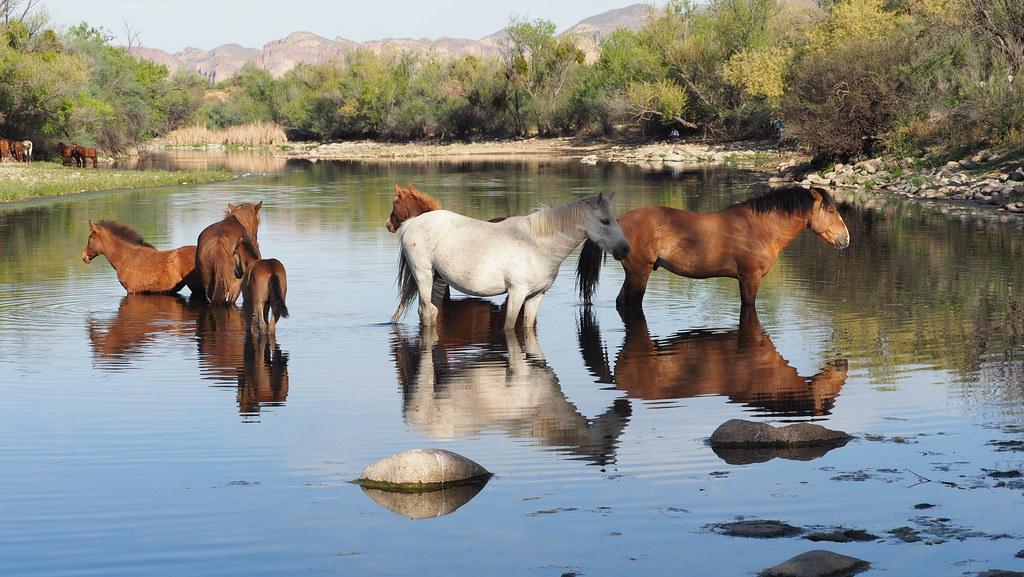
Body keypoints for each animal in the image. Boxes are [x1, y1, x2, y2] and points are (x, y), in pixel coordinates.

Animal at [393, 193, 626, 330]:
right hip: (423, 276)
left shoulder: (536, 295)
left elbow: (527, 327)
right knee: (426, 311)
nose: (625, 249)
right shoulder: (516, 292)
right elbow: (509, 326)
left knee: (432, 311)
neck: (537, 245)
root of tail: (411, 223)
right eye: (605, 221)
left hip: (437, 279)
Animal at [581, 186, 851, 311]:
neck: (759, 227)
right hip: (639, 273)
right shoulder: (750, 278)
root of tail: (619, 221)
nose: (845, 238)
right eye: (830, 210)